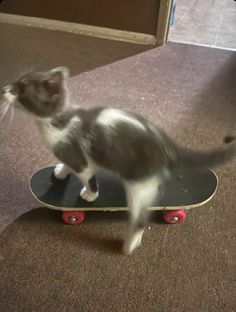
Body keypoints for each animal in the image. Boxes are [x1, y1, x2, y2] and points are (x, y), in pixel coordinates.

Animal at [1, 67, 236, 255]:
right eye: (17, 81)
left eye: (22, 89)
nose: (5, 88)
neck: (58, 121)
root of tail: (167, 144)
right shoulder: (69, 152)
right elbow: (67, 164)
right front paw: (60, 171)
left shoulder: (81, 159)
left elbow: (88, 176)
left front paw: (90, 195)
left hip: (138, 186)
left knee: (140, 219)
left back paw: (130, 246)